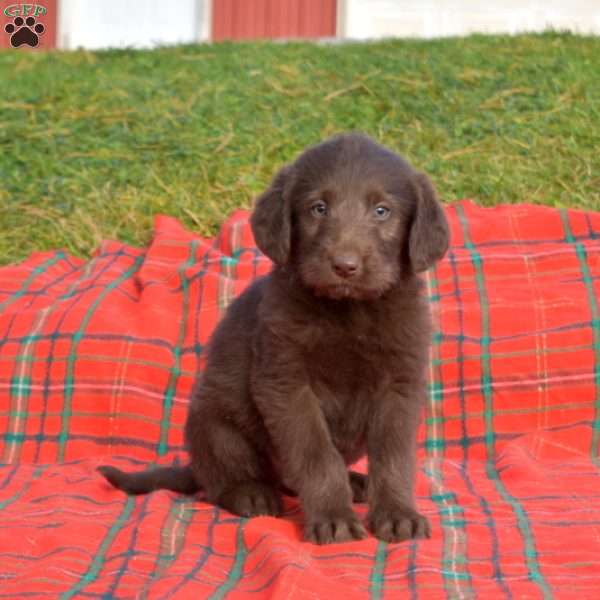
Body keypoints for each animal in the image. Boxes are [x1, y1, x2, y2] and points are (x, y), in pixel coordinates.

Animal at [98, 135, 448, 544]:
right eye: (318, 208)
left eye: (382, 211)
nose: (345, 266)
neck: (349, 312)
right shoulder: (286, 382)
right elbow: (316, 455)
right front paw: (333, 518)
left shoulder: (400, 383)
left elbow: (394, 457)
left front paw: (397, 513)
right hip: (216, 424)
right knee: (223, 480)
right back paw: (251, 493)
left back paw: (355, 482)